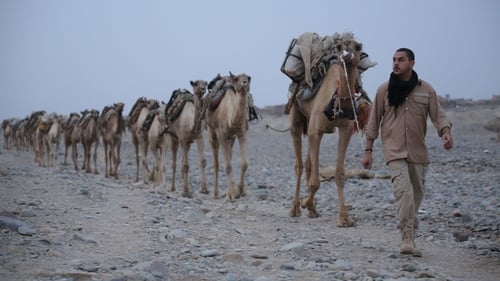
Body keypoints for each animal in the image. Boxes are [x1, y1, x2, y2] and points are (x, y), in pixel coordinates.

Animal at [204, 71, 252, 199]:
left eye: (249, 78)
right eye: (237, 79)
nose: (244, 82)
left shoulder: (242, 133)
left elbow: (244, 164)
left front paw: (239, 191)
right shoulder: (221, 134)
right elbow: (228, 166)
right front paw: (230, 195)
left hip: (231, 138)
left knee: (229, 155)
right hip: (212, 132)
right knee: (216, 163)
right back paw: (216, 193)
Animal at [288, 31, 366, 226]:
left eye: (358, 46)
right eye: (339, 47)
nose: (346, 55)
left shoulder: (346, 130)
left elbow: (340, 174)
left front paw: (344, 218)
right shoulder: (316, 130)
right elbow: (315, 182)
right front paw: (305, 202)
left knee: (308, 164)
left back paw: (312, 210)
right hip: (297, 118)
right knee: (299, 164)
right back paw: (295, 208)